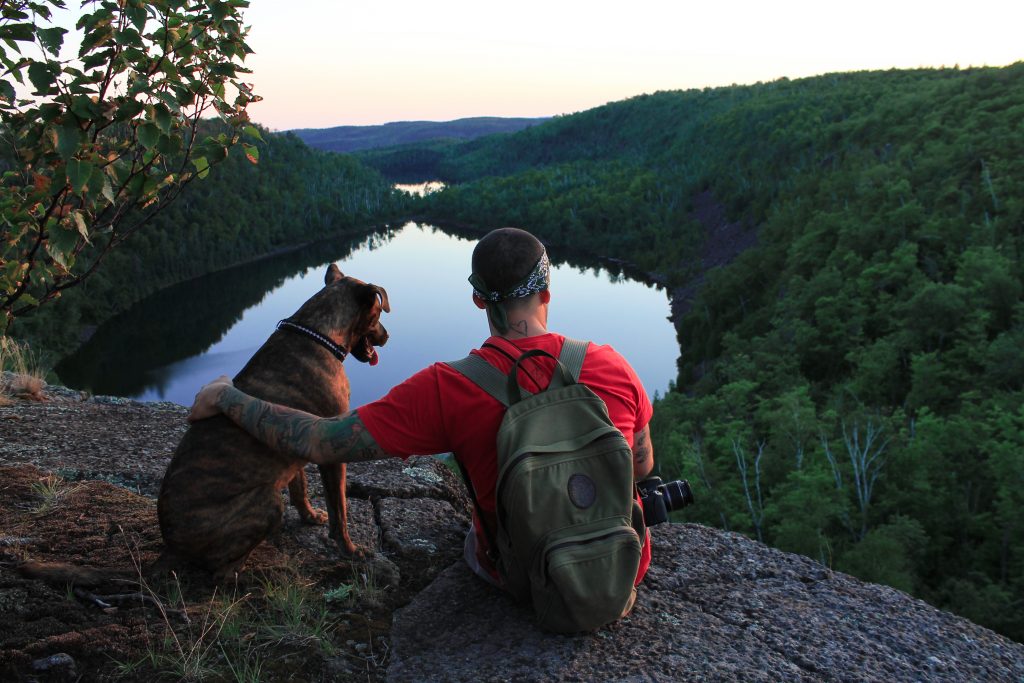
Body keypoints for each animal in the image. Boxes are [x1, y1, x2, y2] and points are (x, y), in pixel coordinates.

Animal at [157, 264, 389, 581]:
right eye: (378, 313)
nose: (387, 336)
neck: (318, 334)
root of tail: (171, 546)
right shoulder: (329, 452)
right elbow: (339, 511)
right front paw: (350, 551)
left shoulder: (295, 439)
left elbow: (299, 489)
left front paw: (310, 517)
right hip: (267, 501)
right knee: (221, 572)